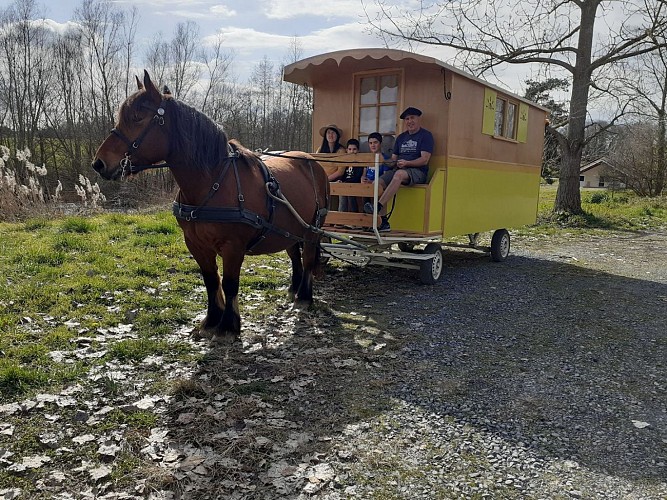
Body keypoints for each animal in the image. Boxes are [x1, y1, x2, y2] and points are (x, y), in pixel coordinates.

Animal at [92, 71, 330, 344]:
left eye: (138, 118)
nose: (99, 163)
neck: (214, 180)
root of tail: (313, 162)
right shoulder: (195, 243)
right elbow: (210, 280)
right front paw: (211, 321)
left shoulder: (233, 246)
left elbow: (229, 283)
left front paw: (228, 325)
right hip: (289, 230)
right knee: (294, 256)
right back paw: (294, 288)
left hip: (312, 229)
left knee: (308, 257)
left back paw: (304, 297)